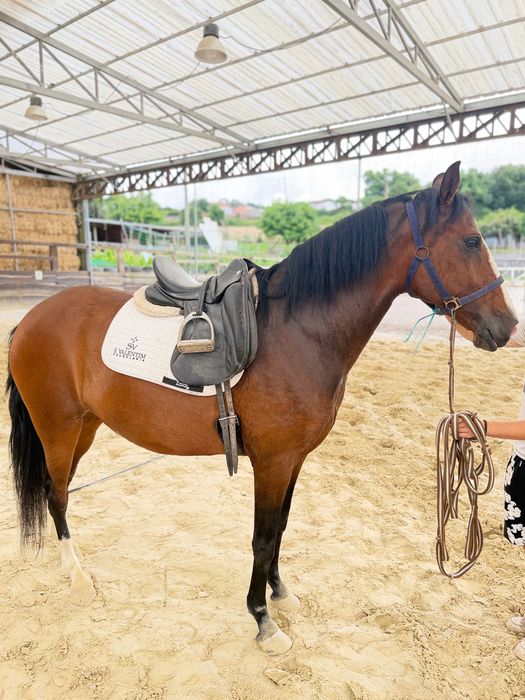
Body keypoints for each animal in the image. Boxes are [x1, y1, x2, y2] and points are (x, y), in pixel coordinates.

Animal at [5, 161, 518, 655]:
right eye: (472, 241)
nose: (509, 326)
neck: (299, 330)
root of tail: (29, 319)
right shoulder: (272, 461)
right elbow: (263, 537)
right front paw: (263, 620)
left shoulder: (294, 459)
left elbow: (281, 529)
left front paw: (280, 593)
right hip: (58, 428)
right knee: (56, 494)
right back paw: (77, 577)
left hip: (86, 428)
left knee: (59, 492)